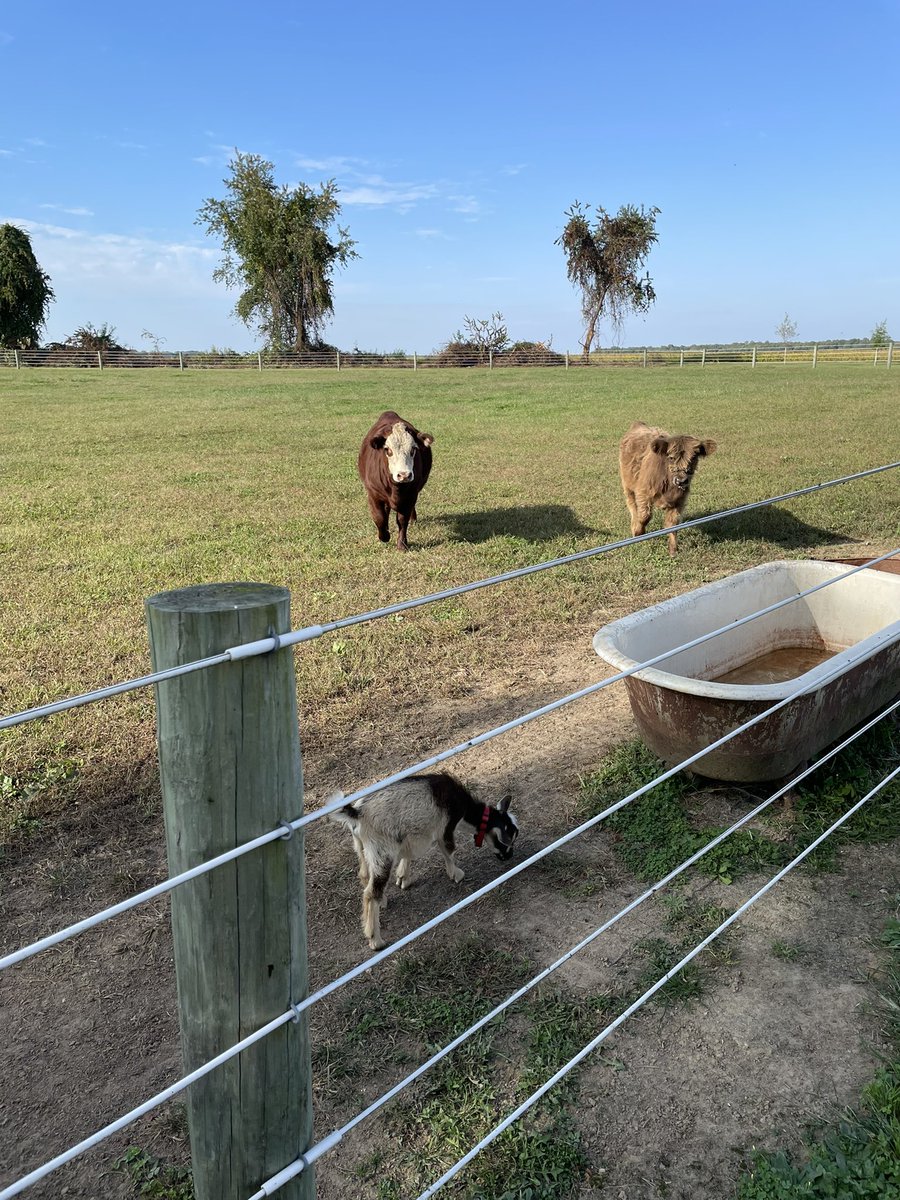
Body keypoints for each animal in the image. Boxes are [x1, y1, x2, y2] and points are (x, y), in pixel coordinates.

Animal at [357, 411, 434, 551]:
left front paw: (402, 544)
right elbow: (379, 517)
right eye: (388, 450)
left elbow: (402, 520)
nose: (404, 475)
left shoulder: (410, 495)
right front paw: (384, 536)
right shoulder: (373, 494)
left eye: (413, 449)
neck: (396, 489)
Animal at [619, 420, 718, 556]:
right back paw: (634, 526)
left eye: (694, 457)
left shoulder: (679, 501)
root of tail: (639, 424)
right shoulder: (643, 492)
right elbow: (644, 516)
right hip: (628, 485)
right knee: (632, 505)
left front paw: (673, 549)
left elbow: (673, 524)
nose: (681, 481)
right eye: (671, 457)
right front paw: (638, 532)